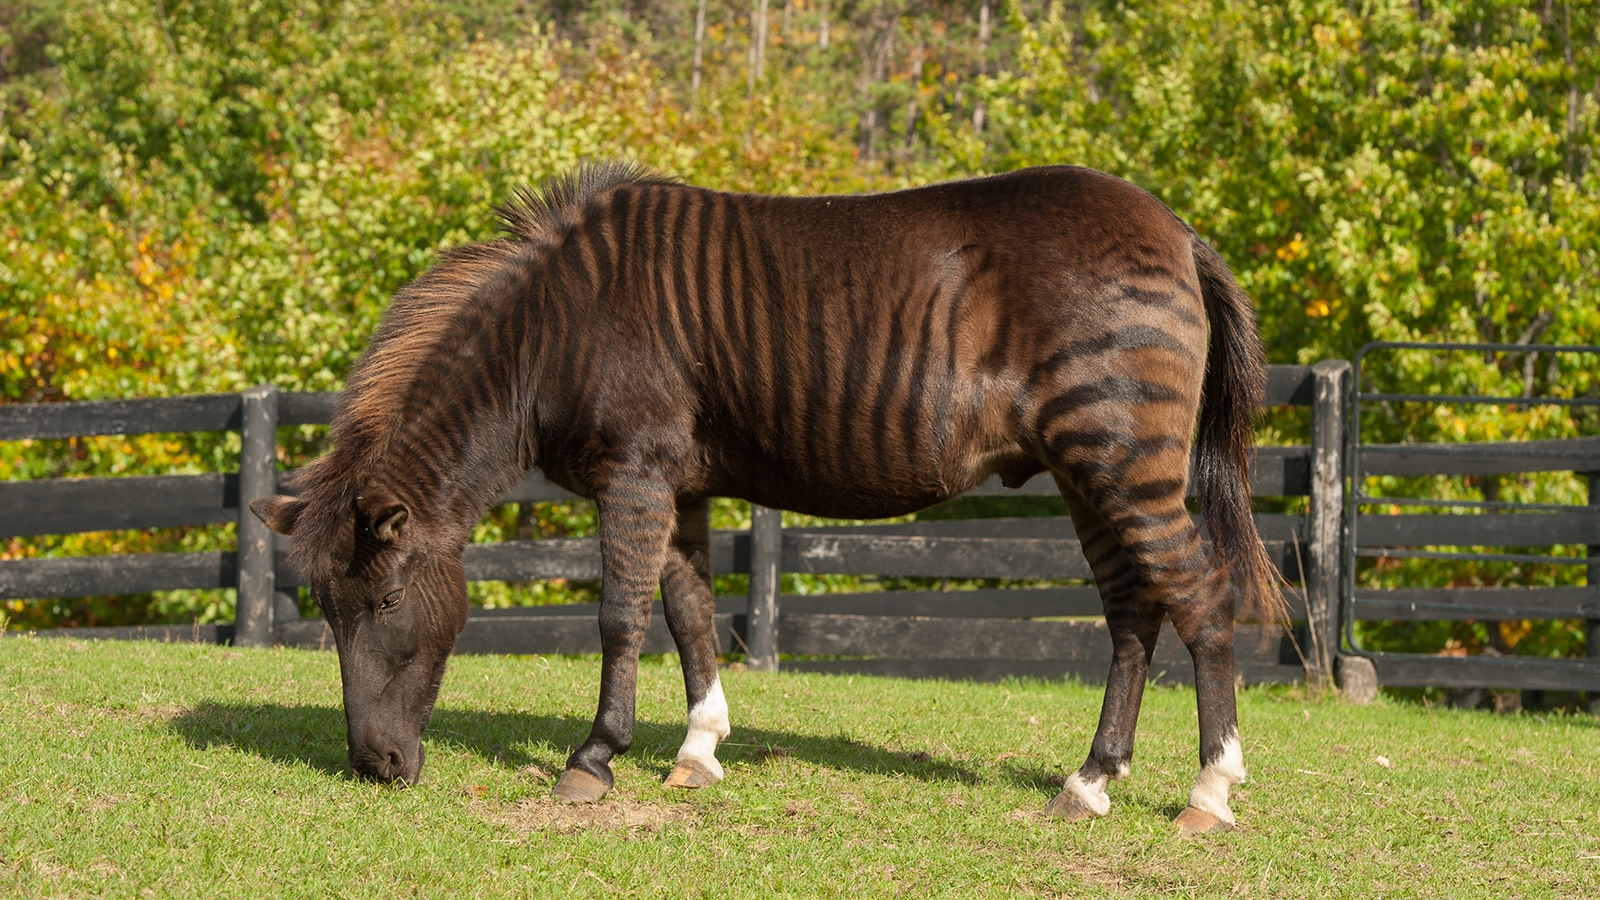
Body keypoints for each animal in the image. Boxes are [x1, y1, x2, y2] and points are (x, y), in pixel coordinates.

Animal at [251, 162, 1281, 834]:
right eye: (325, 613)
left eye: (387, 599)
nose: (374, 770)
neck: (553, 331)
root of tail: (1177, 230)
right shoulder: (680, 483)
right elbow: (689, 613)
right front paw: (696, 752)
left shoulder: (633, 472)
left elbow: (622, 616)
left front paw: (593, 761)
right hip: (1085, 470)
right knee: (1133, 613)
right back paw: (1091, 782)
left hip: (1121, 456)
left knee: (1202, 599)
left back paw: (1210, 795)